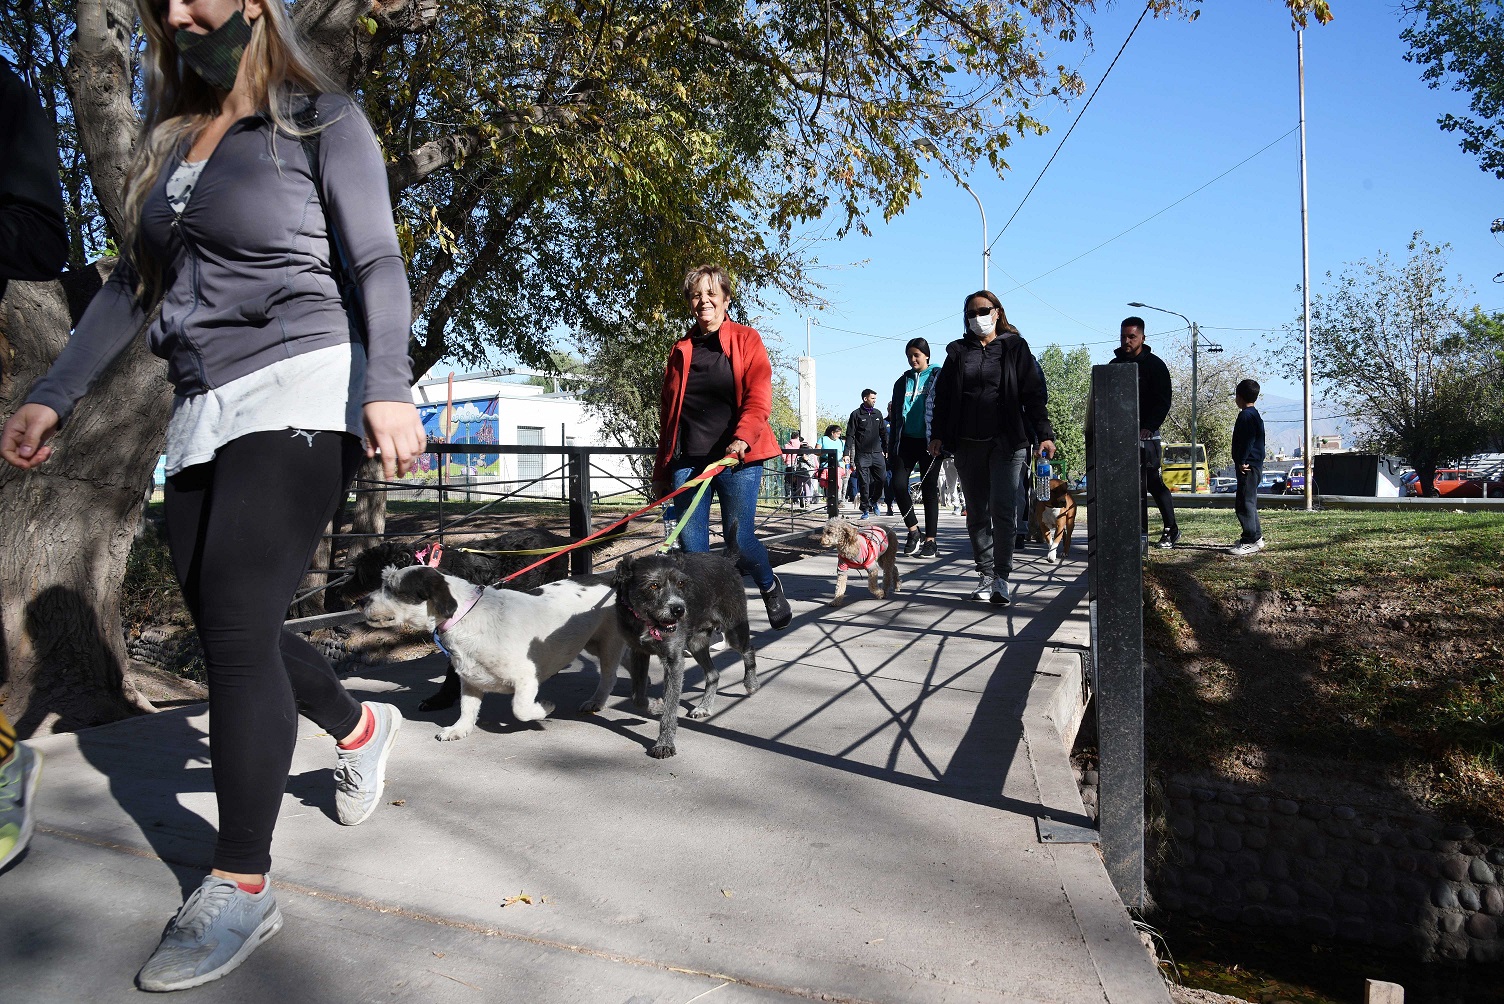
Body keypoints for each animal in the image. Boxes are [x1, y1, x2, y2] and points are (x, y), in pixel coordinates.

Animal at [359, 565, 625, 741]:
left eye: (392, 588)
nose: (362, 601)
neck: (466, 616)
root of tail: (609, 578)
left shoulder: (526, 679)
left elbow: (520, 709)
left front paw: (544, 709)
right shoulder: (469, 680)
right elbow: (467, 708)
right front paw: (459, 729)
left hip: (609, 644)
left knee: (609, 676)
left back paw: (596, 700)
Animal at [606, 551, 758, 759]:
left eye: (680, 583)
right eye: (654, 585)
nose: (679, 609)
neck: (647, 623)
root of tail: (726, 559)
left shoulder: (674, 661)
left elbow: (671, 707)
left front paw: (664, 743)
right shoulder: (639, 652)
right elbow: (637, 698)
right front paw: (656, 706)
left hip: (734, 628)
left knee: (748, 649)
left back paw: (751, 683)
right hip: (696, 643)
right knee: (713, 673)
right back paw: (704, 706)